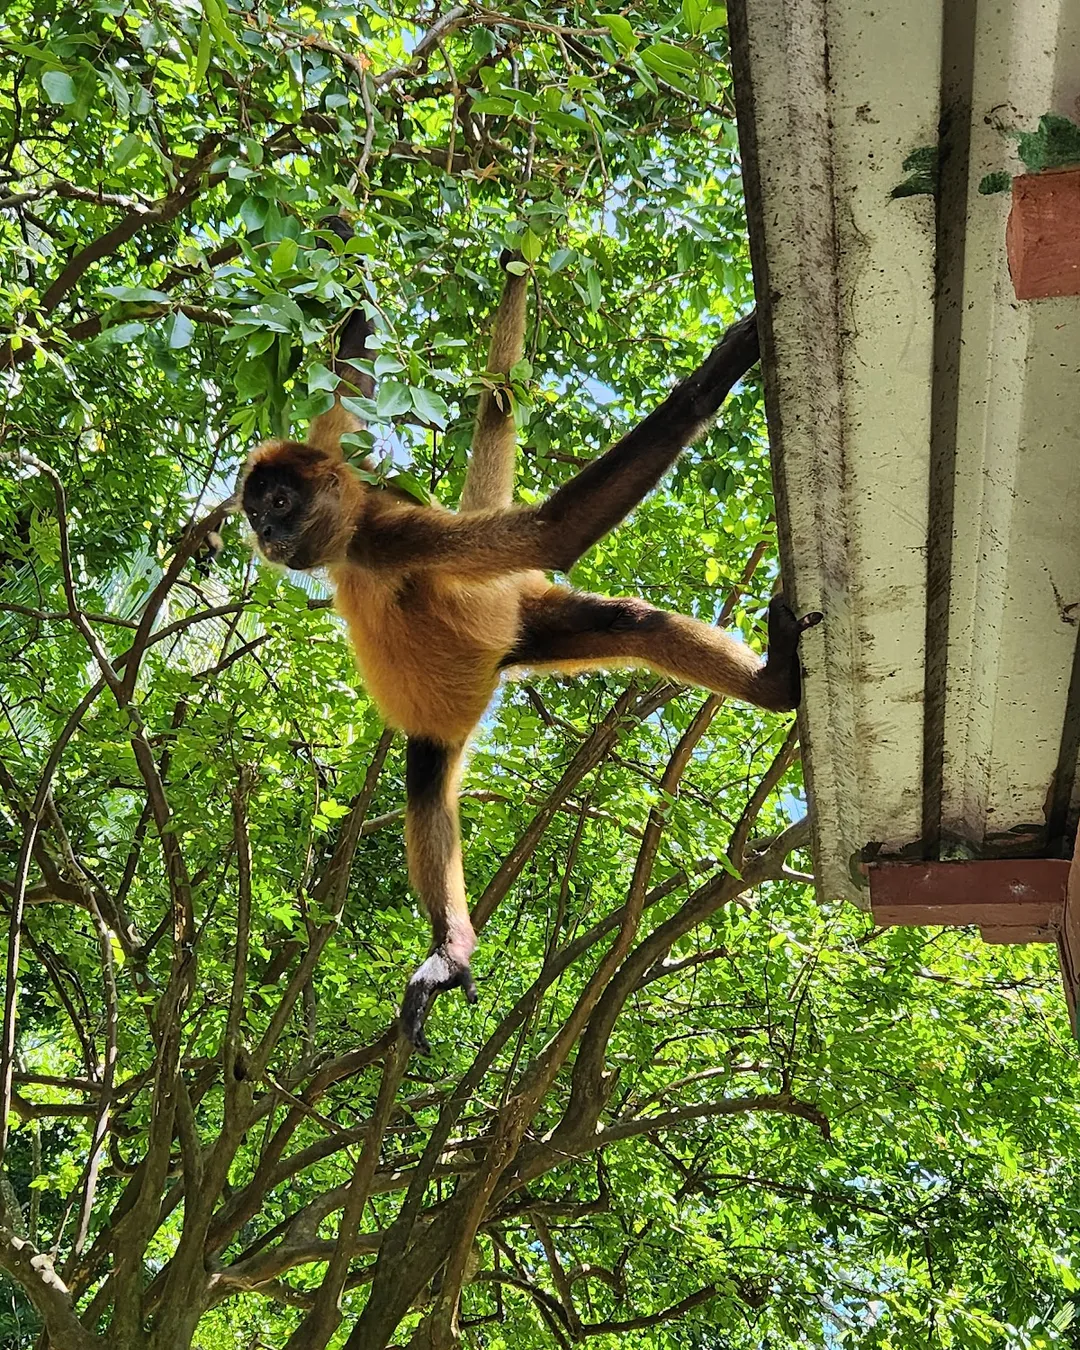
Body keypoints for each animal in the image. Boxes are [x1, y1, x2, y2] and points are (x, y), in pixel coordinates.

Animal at [239, 223, 821, 1054]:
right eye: (258, 511)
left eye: (279, 504)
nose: (265, 535)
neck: (349, 541)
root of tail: (502, 639)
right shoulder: (341, 466)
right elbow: (346, 390)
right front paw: (348, 275)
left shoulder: (392, 533)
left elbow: (555, 531)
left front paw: (718, 371)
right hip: (522, 640)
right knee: (431, 777)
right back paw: (453, 946)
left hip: (525, 616)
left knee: (619, 632)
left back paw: (771, 688)